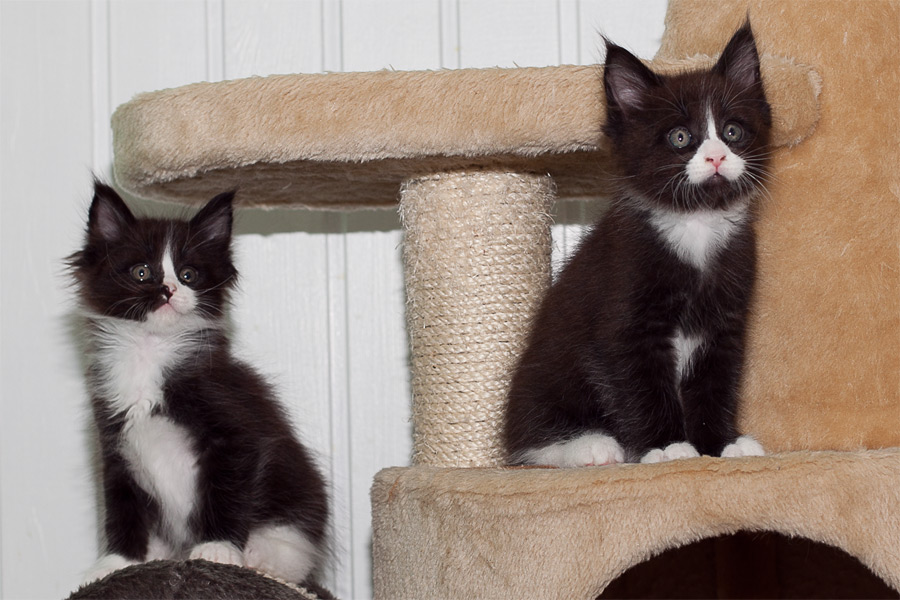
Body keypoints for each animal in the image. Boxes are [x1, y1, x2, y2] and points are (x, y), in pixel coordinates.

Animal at [69, 181, 329, 584]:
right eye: (142, 272)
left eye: (188, 274)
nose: (169, 290)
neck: (150, 353)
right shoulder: (115, 444)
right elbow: (122, 507)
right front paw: (117, 564)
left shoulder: (236, 432)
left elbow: (225, 493)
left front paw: (217, 549)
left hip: (293, 489)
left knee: (292, 543)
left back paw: (261, 556)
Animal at [504, 23, 770, 467]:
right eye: (680, 137)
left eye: (732, 132)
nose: (716, 157)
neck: (695, 224)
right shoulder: (623, 316)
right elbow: (641, 387)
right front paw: (668, 446)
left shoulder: (724, 327)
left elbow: (715, 385)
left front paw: (721, 445)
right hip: (548, 374)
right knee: (529, 443)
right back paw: (590, 446)